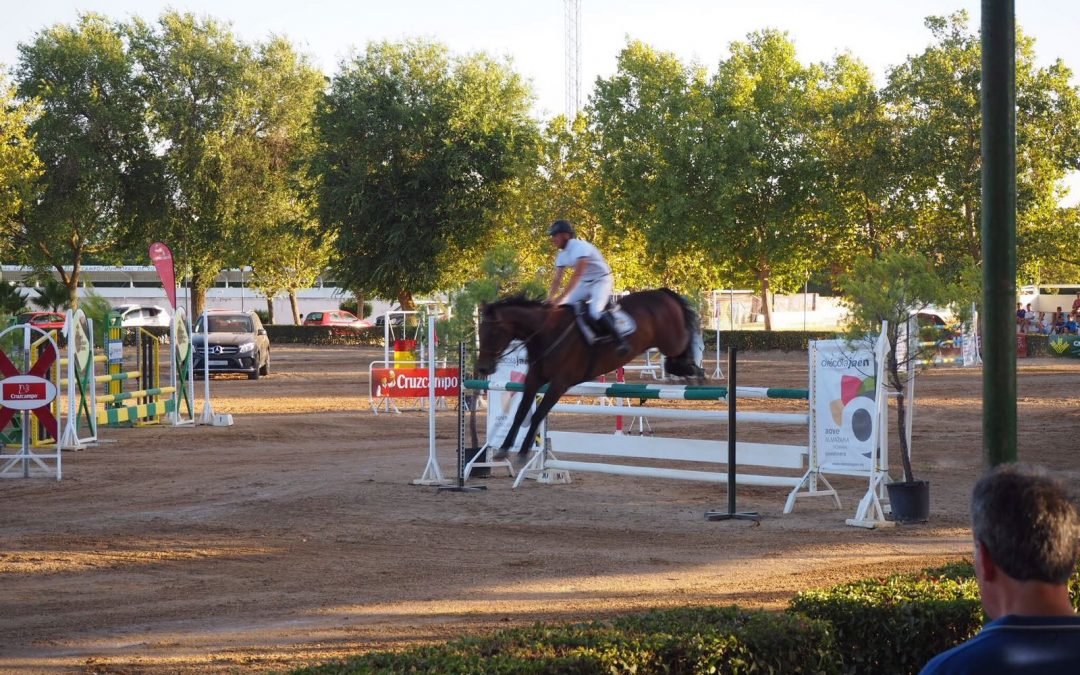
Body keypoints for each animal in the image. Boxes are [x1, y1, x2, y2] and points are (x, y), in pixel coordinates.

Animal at [477, 287, 704, 466]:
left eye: (493, 332)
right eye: (480, 331)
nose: (483, 368)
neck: (546, 333)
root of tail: (662, 293)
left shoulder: (559, 383)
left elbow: (537, 414)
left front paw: (523, 453)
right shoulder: (534, 378)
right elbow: (520, 413)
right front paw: (503, 449)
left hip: (671, 340)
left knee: (687, 338)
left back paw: (693, 370)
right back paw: (685, 369)